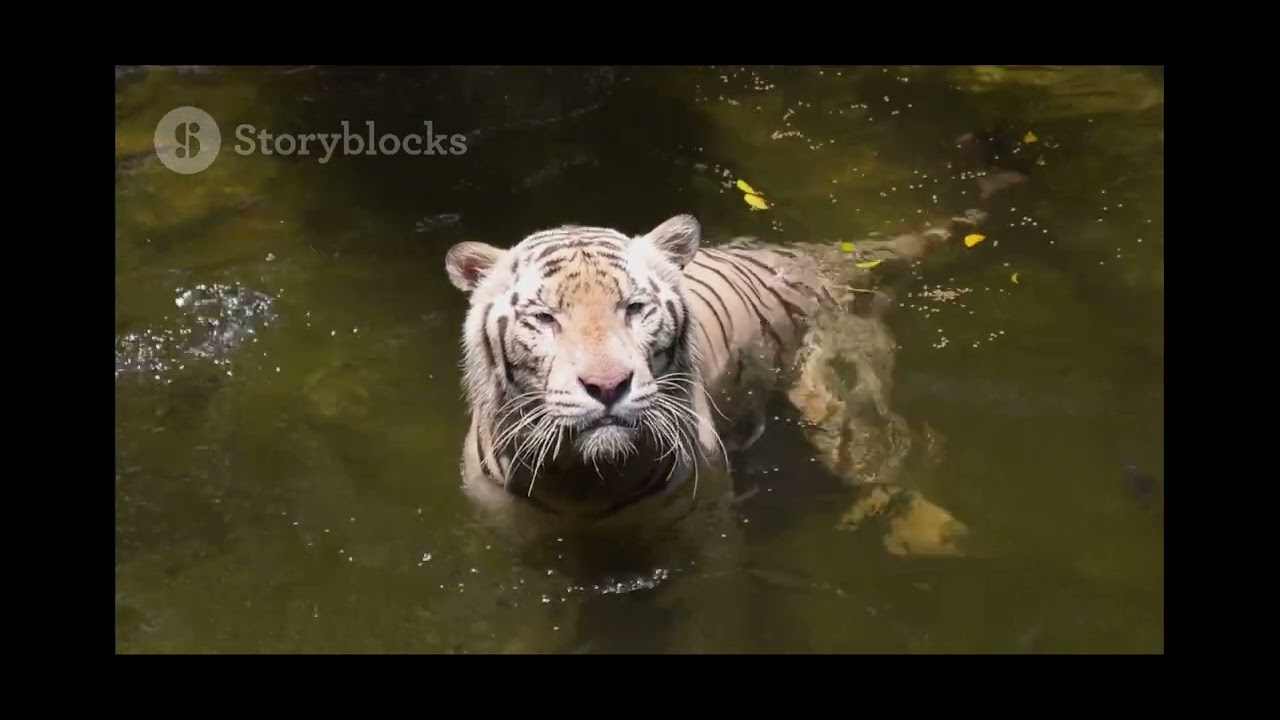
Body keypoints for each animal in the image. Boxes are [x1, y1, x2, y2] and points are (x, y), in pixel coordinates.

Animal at [444, 211, 983, 557]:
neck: (585, 484)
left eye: (634, 309)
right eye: (545, 318)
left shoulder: (701, 529)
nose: (608, 385)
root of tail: (812, 259)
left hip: (843, 395)